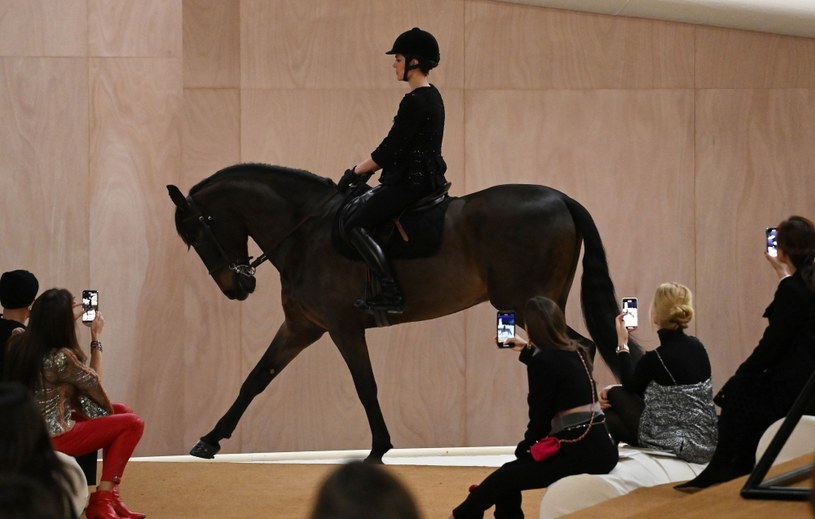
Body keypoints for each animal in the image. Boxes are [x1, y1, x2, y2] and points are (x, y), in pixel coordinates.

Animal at [166, 164, 640, 464]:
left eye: (197, 233)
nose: (238, 287)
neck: (306, 232)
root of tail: (560, 198)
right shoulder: (302, 326)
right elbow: (256, 379)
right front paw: (209, 441)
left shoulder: (342, 327)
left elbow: (365, 386)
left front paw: (379, 449)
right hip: (543, 303)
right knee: (581, 346)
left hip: (527, 302)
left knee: (575, 347)